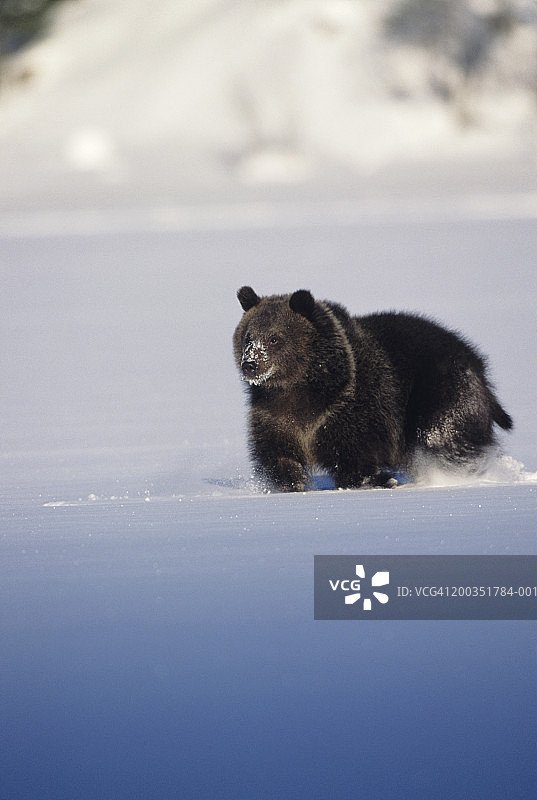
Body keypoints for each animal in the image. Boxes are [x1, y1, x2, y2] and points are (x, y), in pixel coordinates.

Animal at [233, 286, 513, 492]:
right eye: (248, 337)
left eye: (274, 338)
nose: (250, 364)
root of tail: (476, 361)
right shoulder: (274, 416)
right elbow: (276, 453)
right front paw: (293, 479)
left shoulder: (350, 409)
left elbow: (356, 454)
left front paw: (380, 479)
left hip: (439, 389)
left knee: (441, 437)